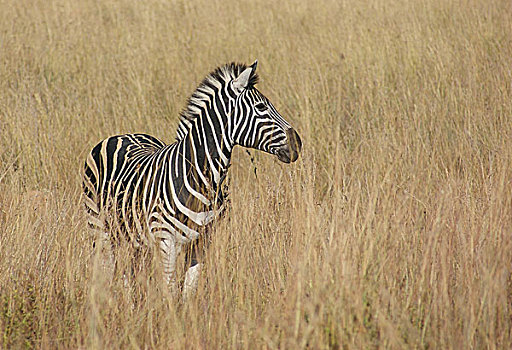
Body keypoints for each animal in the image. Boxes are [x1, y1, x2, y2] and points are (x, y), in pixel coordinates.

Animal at [82, 60, 302, 298]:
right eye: (261, 107)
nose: (297, 143)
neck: (203, 178)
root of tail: (121, 135)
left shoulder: (202, 242)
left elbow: (189, 291)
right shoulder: (166, 242)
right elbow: (170, 292)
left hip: (133, 238)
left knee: (128, 274)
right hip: (100, 229)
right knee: (108, 270)